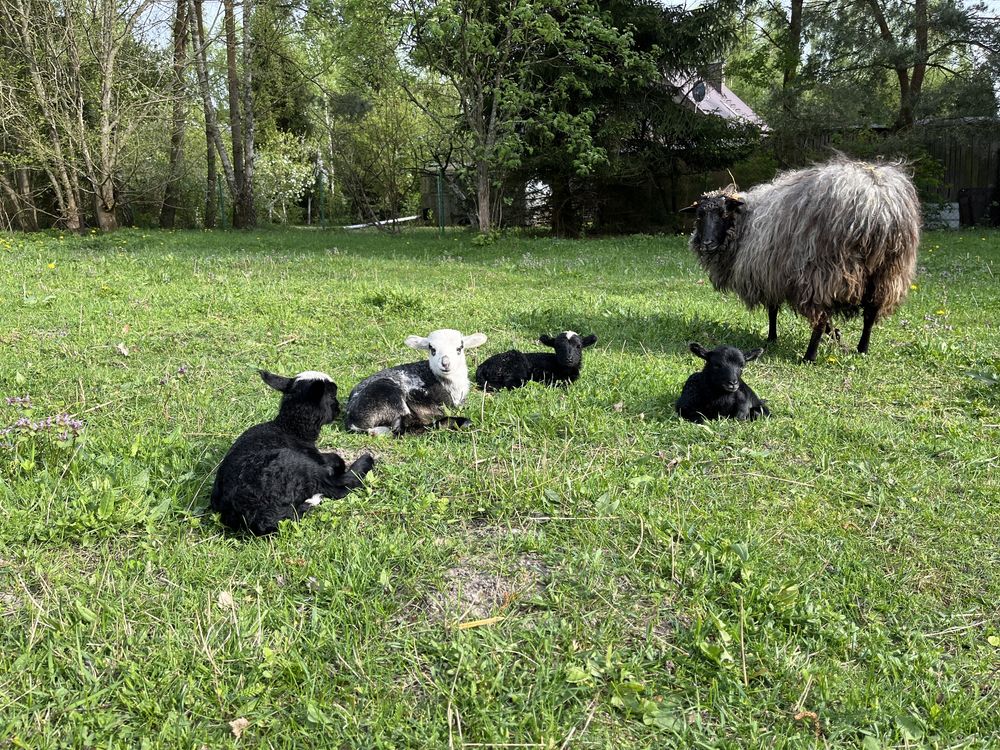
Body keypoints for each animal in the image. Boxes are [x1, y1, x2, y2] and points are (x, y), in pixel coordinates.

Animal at [209, 368, 374, 536]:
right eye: (332, 395)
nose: (339, 409)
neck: (291, 428)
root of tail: (254, 518)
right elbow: (335, 459)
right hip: (298, 466)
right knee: (338, 486)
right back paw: (365, 460)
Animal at [342, 328, 486, 438]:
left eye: (459, 348)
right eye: (432, 349)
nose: (445, 363)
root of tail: (352, 421)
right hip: (390, 397)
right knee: (403, 429)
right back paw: (460, 422)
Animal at [680, 157, 920, 362]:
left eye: (723, 213)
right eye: (699, 216)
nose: (707, 243)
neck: (744, 223)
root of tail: (877, 206)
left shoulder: (769, 272)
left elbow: (773, 310)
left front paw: (772, 338)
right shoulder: (775, 274)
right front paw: (835, 336)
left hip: (824, 270)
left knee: (821, 317)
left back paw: (809, 356)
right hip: (887, 272)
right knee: (870, 313)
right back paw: (862, 350)